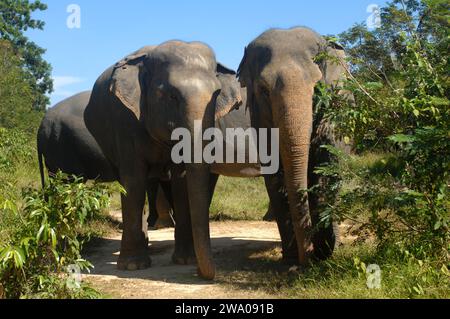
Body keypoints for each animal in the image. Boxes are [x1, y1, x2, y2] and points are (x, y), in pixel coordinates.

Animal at [82, 41, 241, 278]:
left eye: (216, 94)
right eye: (172, 96)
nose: (204, 274)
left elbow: (181, 181)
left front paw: (185, 260)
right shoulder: (125, 121)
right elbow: (134, 181)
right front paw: (133, 266)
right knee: (126, 182)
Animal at [237, 26, 354, 268]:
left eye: (317, 88)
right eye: (263, 90)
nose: (307, 260)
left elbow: (326, 167)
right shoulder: (259, 118)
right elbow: (275, 176)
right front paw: (290, 263)